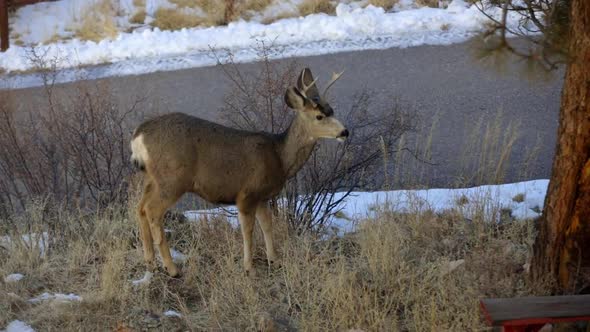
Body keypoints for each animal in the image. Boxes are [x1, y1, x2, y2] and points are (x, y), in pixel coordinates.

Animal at [131, 68, 346, 278]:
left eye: (332, 110)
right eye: (319, 116)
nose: (345, 132)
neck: (280, 157)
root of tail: (138, 135)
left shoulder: (262, 196)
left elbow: (267, 225)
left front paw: (274, 260)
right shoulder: (247, 193)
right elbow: (248, 230)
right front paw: (249, 268)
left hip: (152, 178)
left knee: (140, 208)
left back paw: (150, 263)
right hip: (172, 179)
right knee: (152, 211)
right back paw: (172, 269)